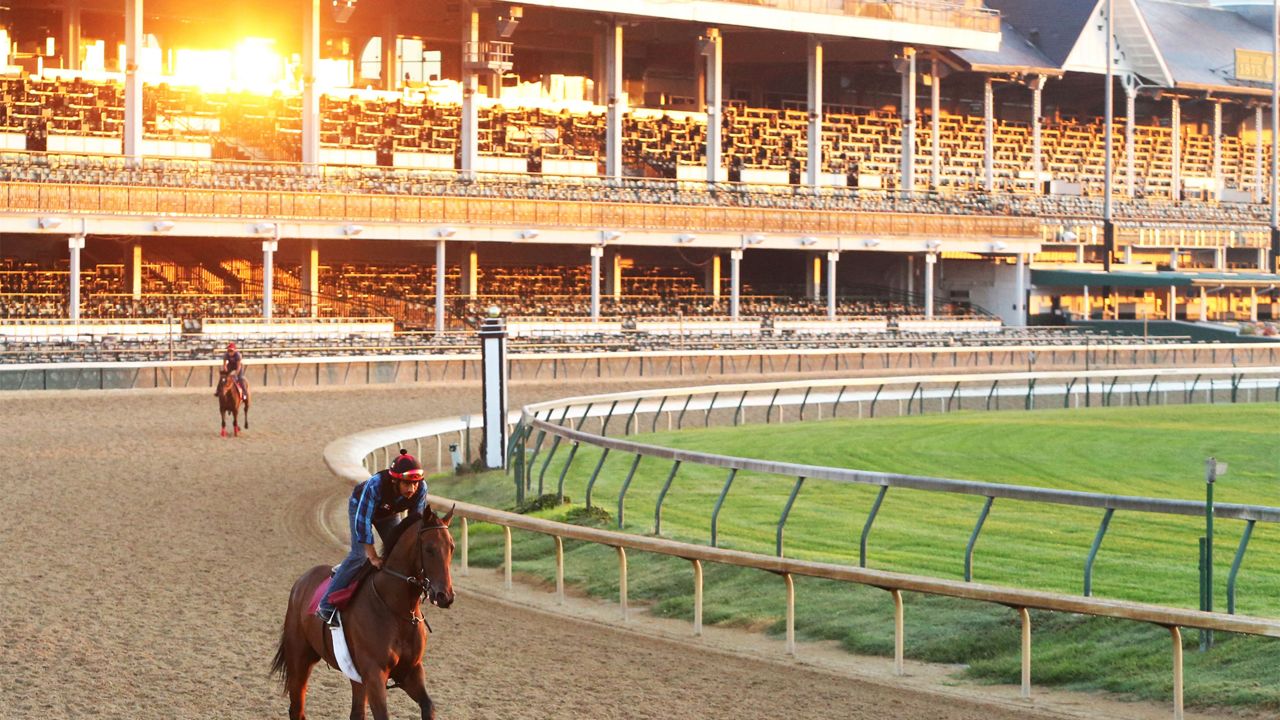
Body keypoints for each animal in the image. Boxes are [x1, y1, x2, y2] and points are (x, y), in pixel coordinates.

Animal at [270, 504, 455, 717]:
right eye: (429, 548)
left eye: (452, 547)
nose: (445, 596)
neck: (397, 609)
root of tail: (302, 580)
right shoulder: (374, 673)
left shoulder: (410, 671)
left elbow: (428, 705)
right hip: (300, 658)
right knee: (297, 708)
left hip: (354, 675)